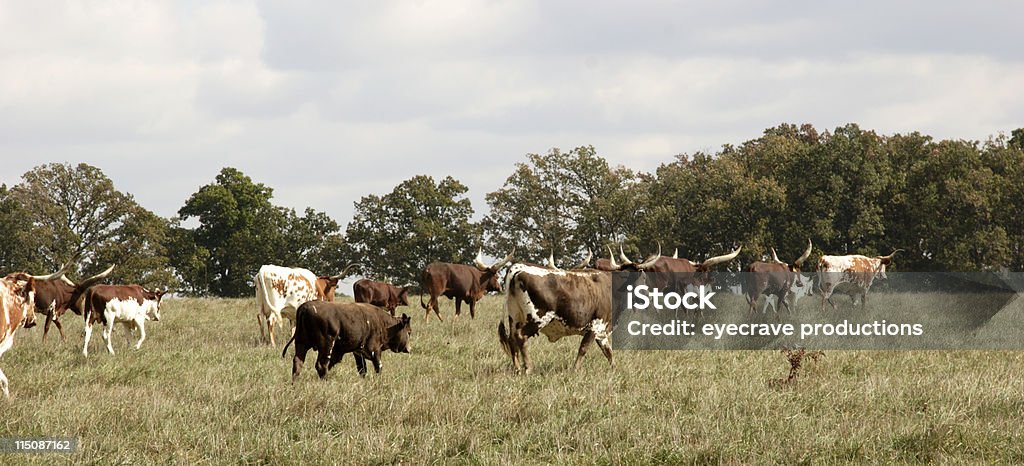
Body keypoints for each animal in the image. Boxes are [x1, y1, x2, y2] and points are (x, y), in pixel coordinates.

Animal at [280, 303, 411, 383]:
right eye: (409, 332)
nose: (409, 348)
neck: (383, 323)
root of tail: (305, 307)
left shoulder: (358, 352)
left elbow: (362, 369)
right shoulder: (375, 350)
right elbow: (378, 367)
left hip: (301, 343)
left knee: (298, 363)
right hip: (326, 346)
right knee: (321, 365)